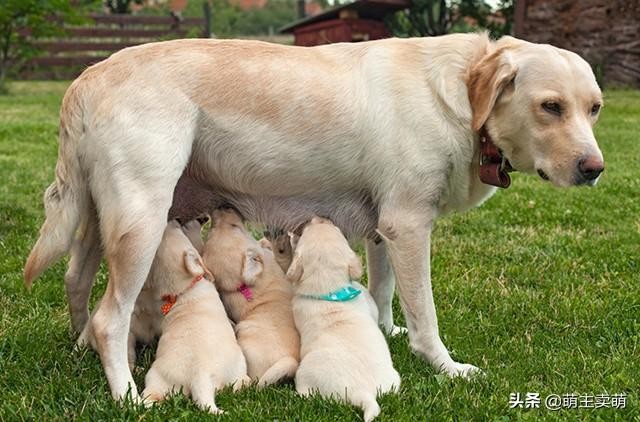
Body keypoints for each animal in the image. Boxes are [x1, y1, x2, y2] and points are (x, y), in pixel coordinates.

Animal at [141, 221, 249, 412]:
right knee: (241, 381)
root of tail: (199, 376)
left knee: (150, 396)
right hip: (238, 363)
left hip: (156, 379)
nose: (171, 221)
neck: (183, 291)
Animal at [290, 218, 400, 422]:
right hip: (393, 380)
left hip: (304, 374)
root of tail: (363, 393)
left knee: (306, 392)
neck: (330, 288)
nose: (319, 218)